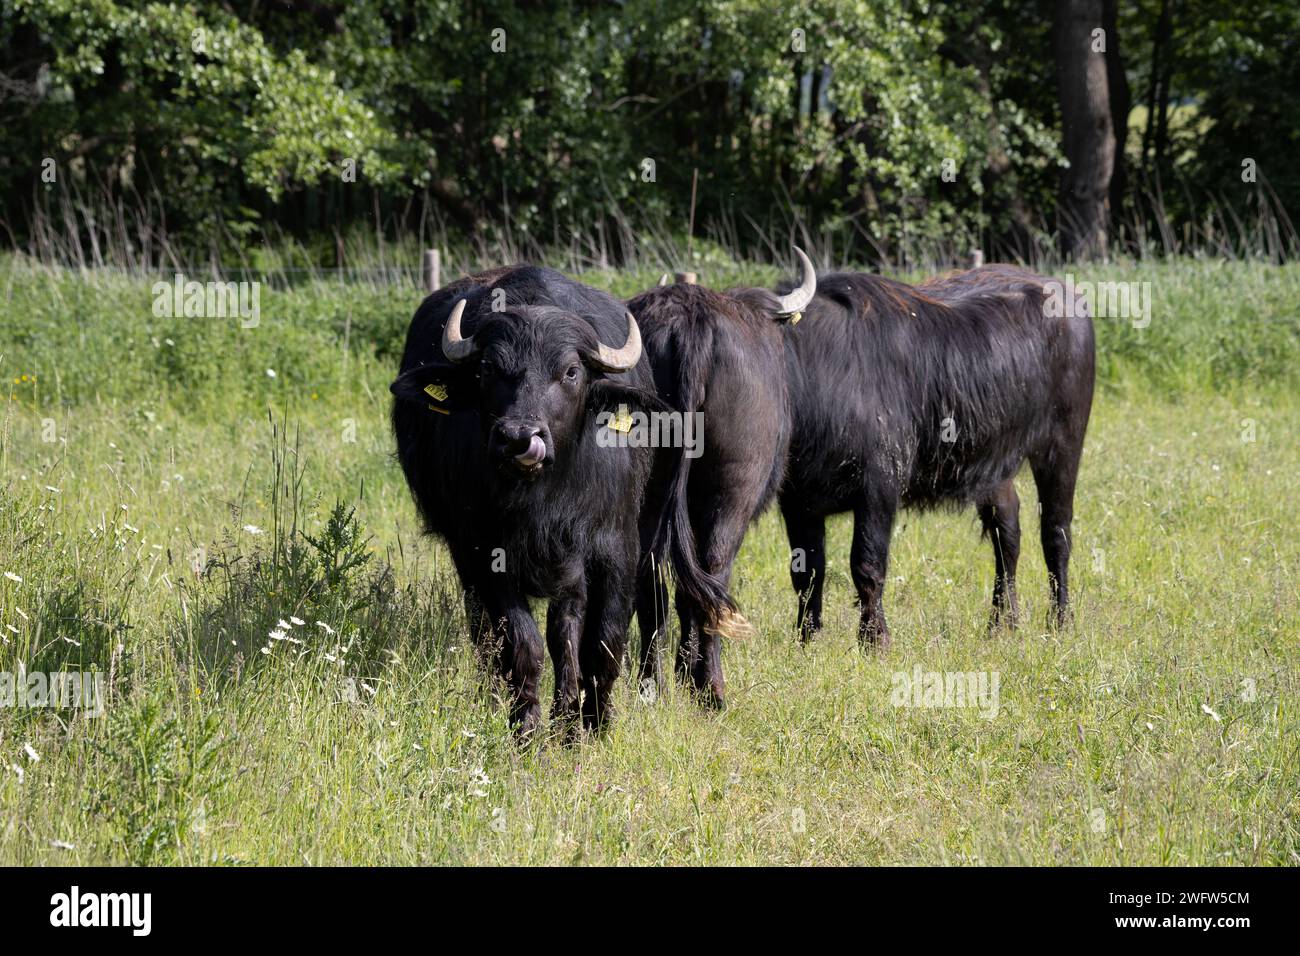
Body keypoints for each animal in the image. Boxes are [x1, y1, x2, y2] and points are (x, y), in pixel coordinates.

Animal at [390, 266, 732, 735]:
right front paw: (527, 728)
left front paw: (592, 726)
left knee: (566, 629)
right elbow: (522, 646)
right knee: (488, 633)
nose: (519, 437)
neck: (545, 500)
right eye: (488, 369)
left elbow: (601, 643)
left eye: (570, 371)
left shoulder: (615, 551)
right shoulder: (484, 554)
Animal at [627, 249, 817, 706]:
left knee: (652, 580)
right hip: (733, 491)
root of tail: (688, 327)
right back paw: (711, 688)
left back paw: (651, 687)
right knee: (713, 574)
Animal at [775, 264, 1095, 645]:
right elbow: (807, 574)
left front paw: (874, 639)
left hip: (1063, 442)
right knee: (1007, 529)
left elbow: (866, 565)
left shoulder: (879, 488)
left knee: (1056, 532)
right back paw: (1002, 623)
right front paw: (806, 639)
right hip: (993, 465)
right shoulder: (797, 502)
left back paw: (1059, 621)